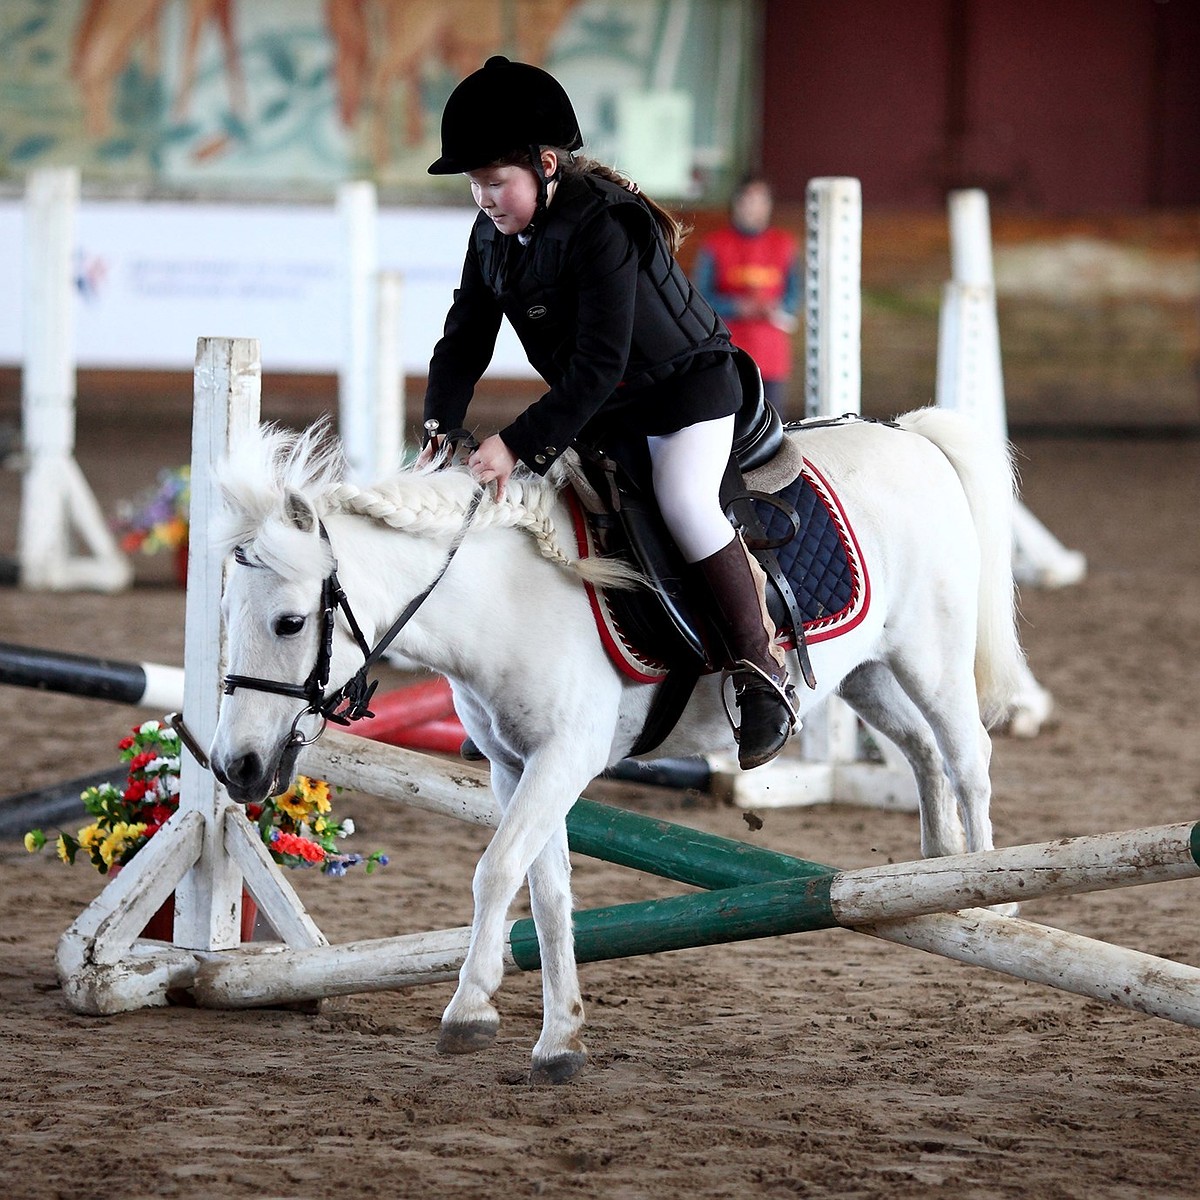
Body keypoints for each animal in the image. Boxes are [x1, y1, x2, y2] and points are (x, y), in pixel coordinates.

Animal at [211, 408, 1027, 1084]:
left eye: (289, 622)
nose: (233, 767)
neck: (503, 598)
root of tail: (912, 437)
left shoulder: (562, 759)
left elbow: (496, 869)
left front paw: (469, 1010)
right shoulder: (514, 767)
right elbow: (546, 892)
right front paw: (559, 1041)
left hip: (930, 658)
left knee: (969, 759)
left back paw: (989, 900)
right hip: (866, 674)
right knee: (923, 752)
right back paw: (937, 865)